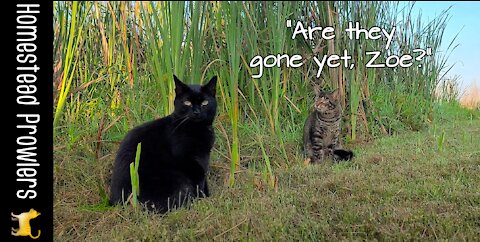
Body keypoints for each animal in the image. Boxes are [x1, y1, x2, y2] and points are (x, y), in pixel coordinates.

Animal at [109, 74, 217, 213]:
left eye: (205, 103)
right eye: (187, 102)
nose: (196, 112)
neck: (196, 129)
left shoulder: (203, 157)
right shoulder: (187, 159)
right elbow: (200, 178)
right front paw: (203, 200)